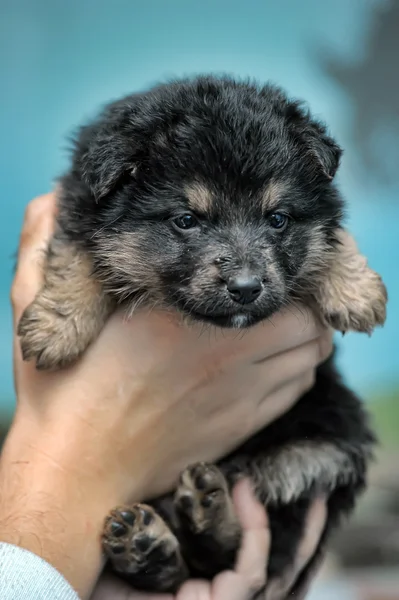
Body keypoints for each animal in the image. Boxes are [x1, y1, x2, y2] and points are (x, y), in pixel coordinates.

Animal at [18, 77, 388, 596]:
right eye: (186, 220)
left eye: (278, 219)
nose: (247, 288)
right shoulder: (79, 199)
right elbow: (76, 253)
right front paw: (57, 325)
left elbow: (331, 239)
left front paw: (357, 290)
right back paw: (150, 545)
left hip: (308, 456)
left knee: (233, 549)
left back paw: (198, 516)